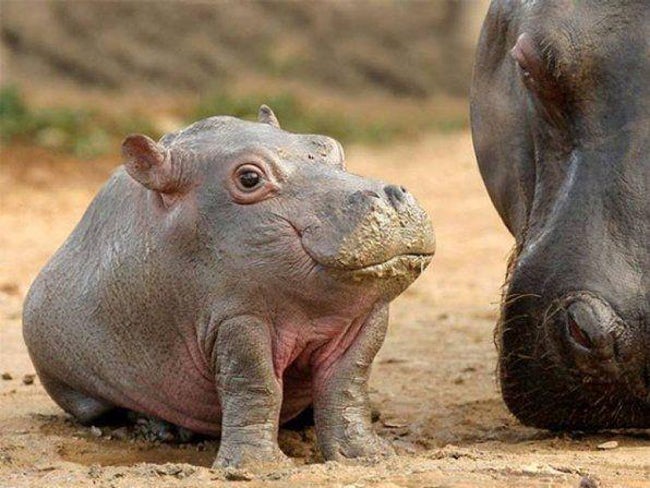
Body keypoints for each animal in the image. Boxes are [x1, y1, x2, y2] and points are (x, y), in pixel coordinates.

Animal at [22, 107, 432, 468]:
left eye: (330, 145)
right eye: (249, 178)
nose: (391, 195)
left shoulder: (363, 320)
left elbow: (347, 387)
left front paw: (370, 456)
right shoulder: (237, 321)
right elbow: (255, 385)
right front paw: (258, 467)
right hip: (74, 384)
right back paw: (163, 429)